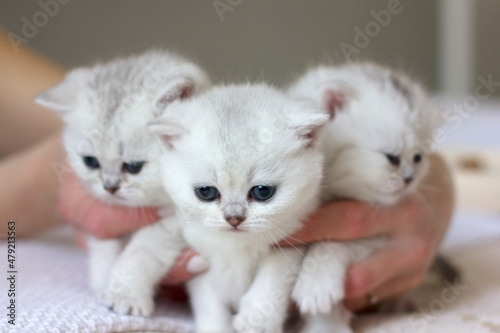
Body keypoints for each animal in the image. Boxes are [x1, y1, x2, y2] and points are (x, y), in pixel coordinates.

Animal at [35, 50, 211, 316]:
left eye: (134, 166)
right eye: (90, 162)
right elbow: (104, 246)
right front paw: (104, 281)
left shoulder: (178, 222)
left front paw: (125, 294)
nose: (110, 187)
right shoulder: (104, 218)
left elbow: (142, 250)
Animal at [147, 84, 328, 330]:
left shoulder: (292, 240)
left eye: (263, 191)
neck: (238, 247)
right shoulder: (201, 260)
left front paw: (257, 320)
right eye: (206, 192)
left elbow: (272, 279)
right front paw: (217, 327)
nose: (233, 218)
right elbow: (209, 303)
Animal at [286, 63, 442, 332]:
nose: (409, 179)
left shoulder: (378, 235)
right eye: (391, 157)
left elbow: (331, 243)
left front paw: (316, 286)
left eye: (418, 158)